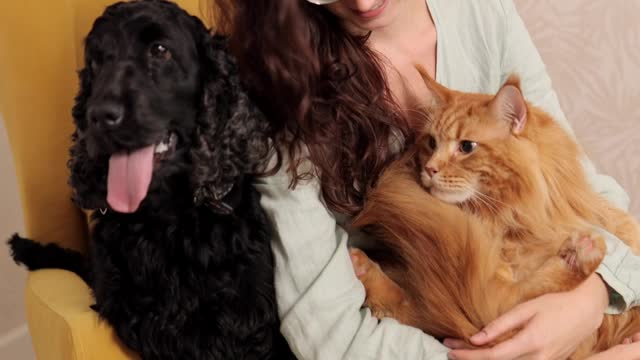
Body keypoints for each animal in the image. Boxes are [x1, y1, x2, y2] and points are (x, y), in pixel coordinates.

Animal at [8, 1, 292, 358]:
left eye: (159, 50)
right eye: (95, 61)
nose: (99, 116)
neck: (168, 217)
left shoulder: (246, 319)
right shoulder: (139, 314)